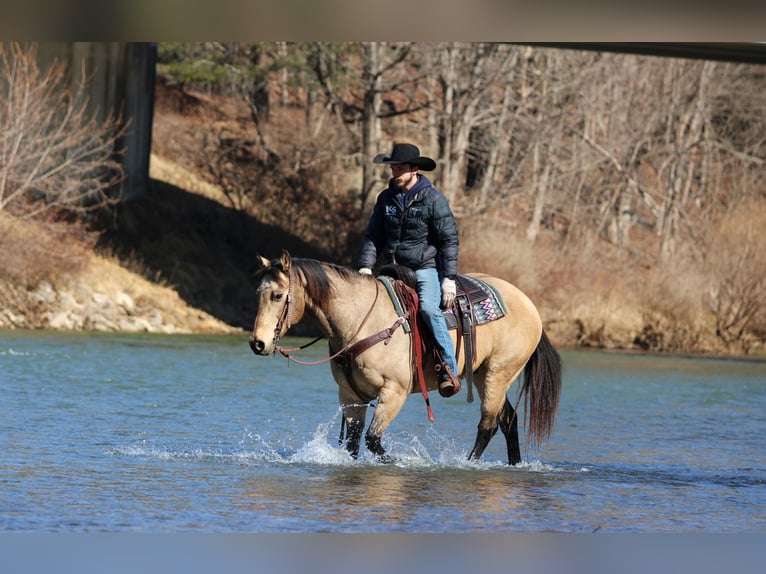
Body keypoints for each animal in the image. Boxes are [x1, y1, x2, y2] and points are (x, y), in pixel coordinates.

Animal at [248, 250, 562, 465]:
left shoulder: (394, 392)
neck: (362, 320)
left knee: (489, 424)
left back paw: (469, 463)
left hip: (499, 373)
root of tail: (529, 305)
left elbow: (373, 439)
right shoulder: (349, 394)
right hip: (487, 375)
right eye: (259, 293)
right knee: (507, 419)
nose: (258, 343)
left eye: (277, 295)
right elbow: (353, 443)